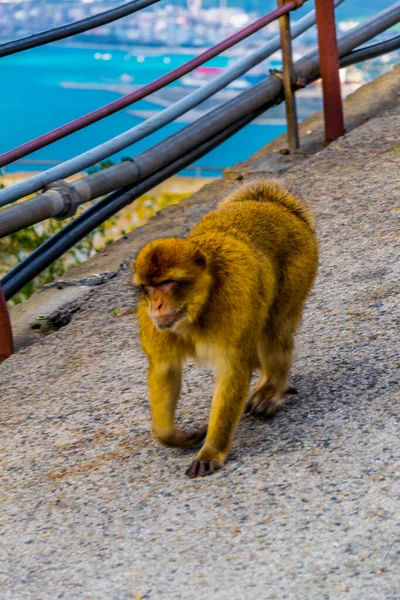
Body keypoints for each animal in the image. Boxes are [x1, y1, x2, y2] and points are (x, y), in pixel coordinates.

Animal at [134, 178, 318, 478]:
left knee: (275, 328)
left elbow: (233, 369)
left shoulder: (233, 303)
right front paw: (174, 436)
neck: (199, 308)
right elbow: (165, 370)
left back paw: (274, 386)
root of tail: (273, 204)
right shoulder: (154, 325)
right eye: (149, 287)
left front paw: (212, 451)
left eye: (167, 283)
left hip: (300, 263)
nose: (157, 306)